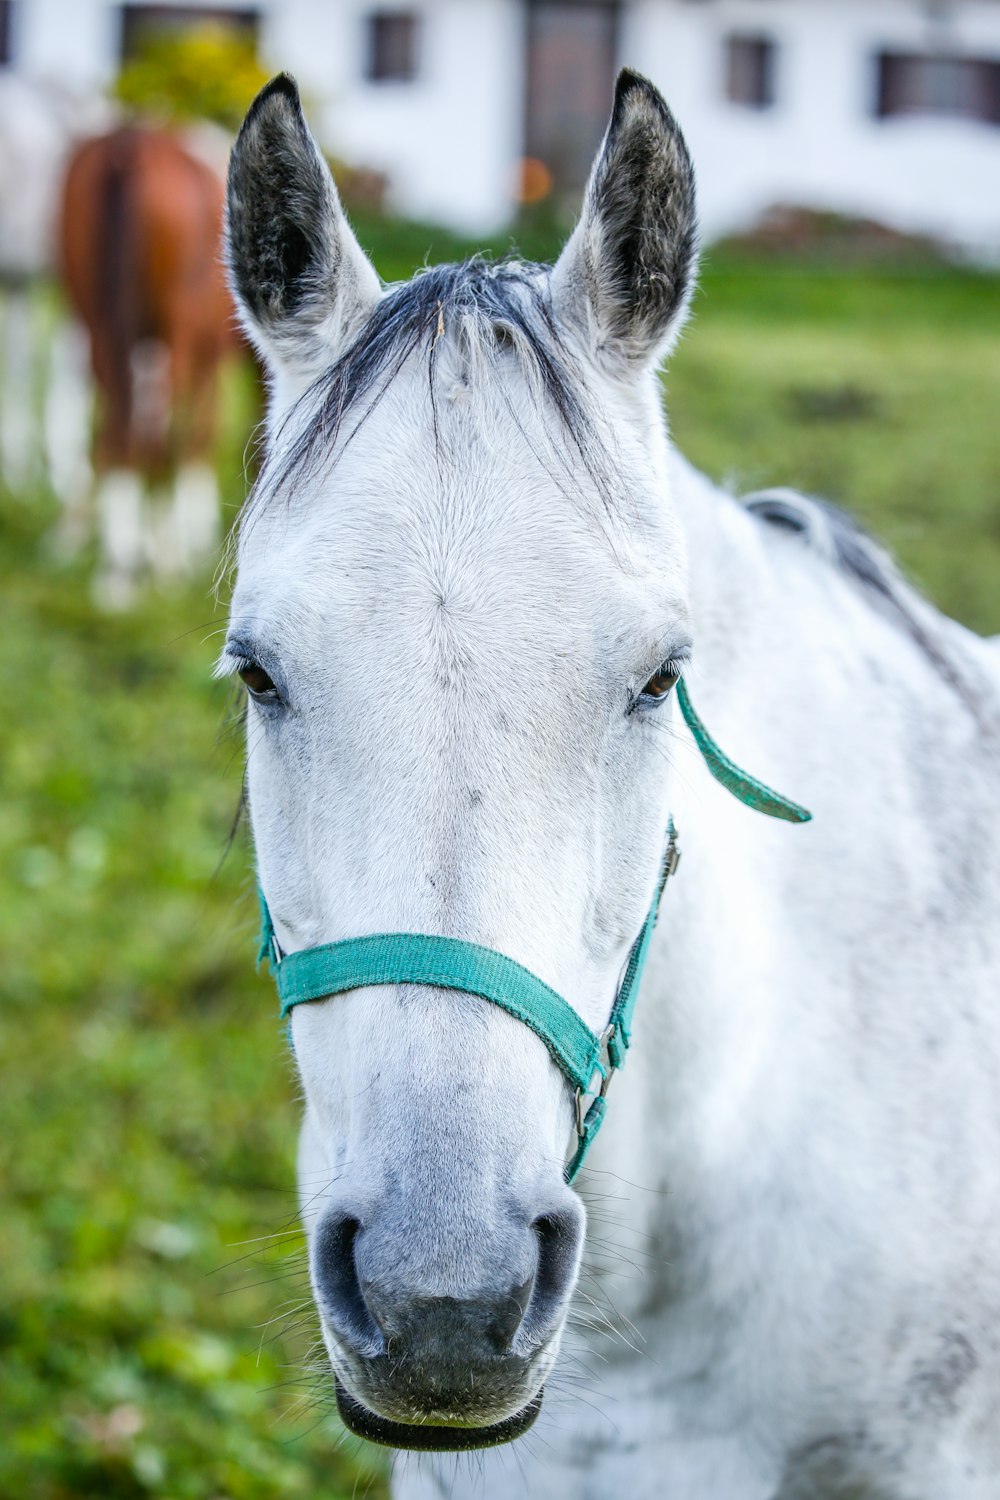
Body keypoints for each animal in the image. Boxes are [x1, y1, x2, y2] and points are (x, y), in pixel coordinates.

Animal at [60, 124, 244, 603]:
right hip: (173, 332)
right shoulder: (202, 352)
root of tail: (131, 147)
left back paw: (116, 562)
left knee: (115, 430)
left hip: (97, 318)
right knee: (158, 437)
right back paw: (150, 562)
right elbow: (195, 434)